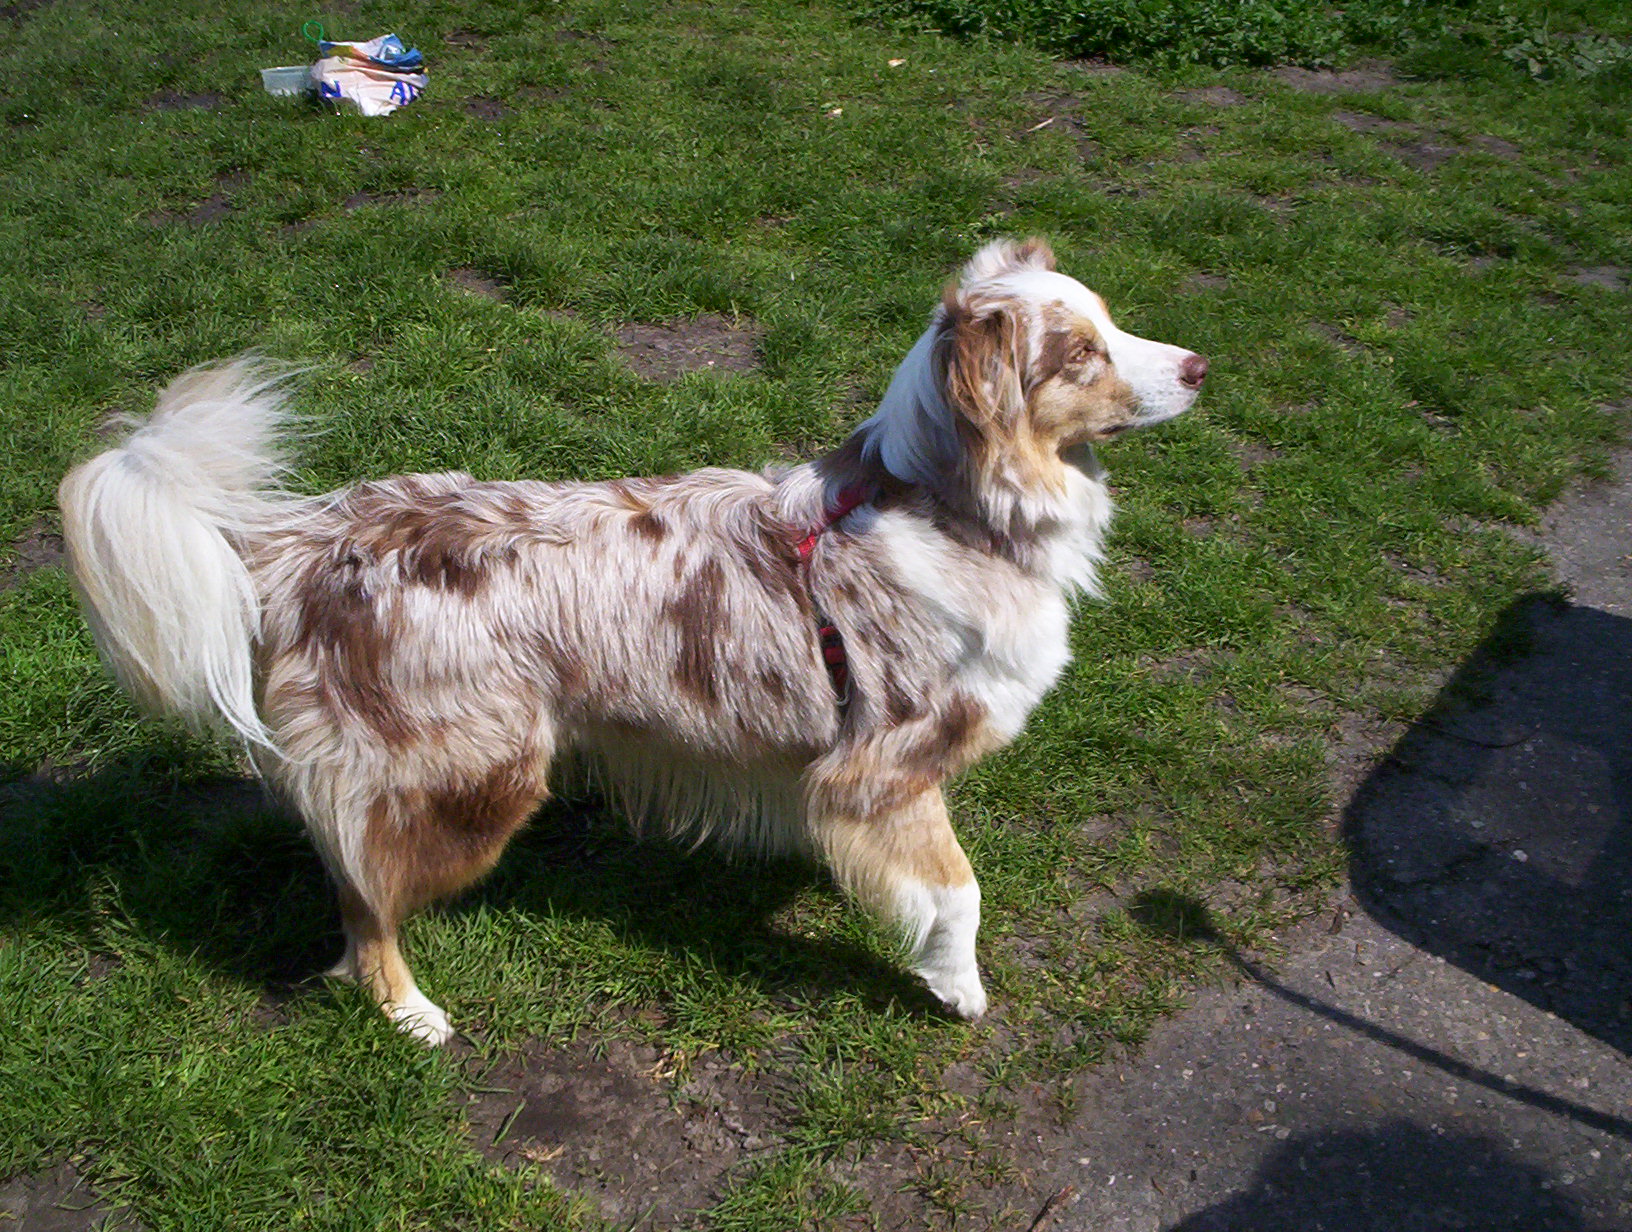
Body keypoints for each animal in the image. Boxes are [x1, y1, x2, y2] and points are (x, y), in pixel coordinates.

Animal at [57, 238, 1207, 1037]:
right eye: (1082, 354)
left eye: (1113, 323)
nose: (1199, 364)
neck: (950, 505)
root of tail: (302, 540)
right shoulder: (885, 761)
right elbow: (960, 893)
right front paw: (956, 986)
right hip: (472, 771)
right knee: (360, 894)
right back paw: (409, 1010)